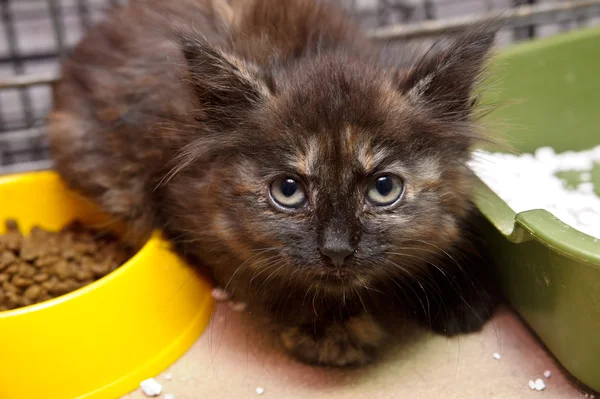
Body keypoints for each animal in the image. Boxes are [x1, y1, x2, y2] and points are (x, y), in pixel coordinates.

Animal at [49, 0, 502, 368]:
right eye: (288, 190)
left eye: (383, 188)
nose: (336, 250)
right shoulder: (191, 214)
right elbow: (270, 279)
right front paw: (331, 331)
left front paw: (462, 296)